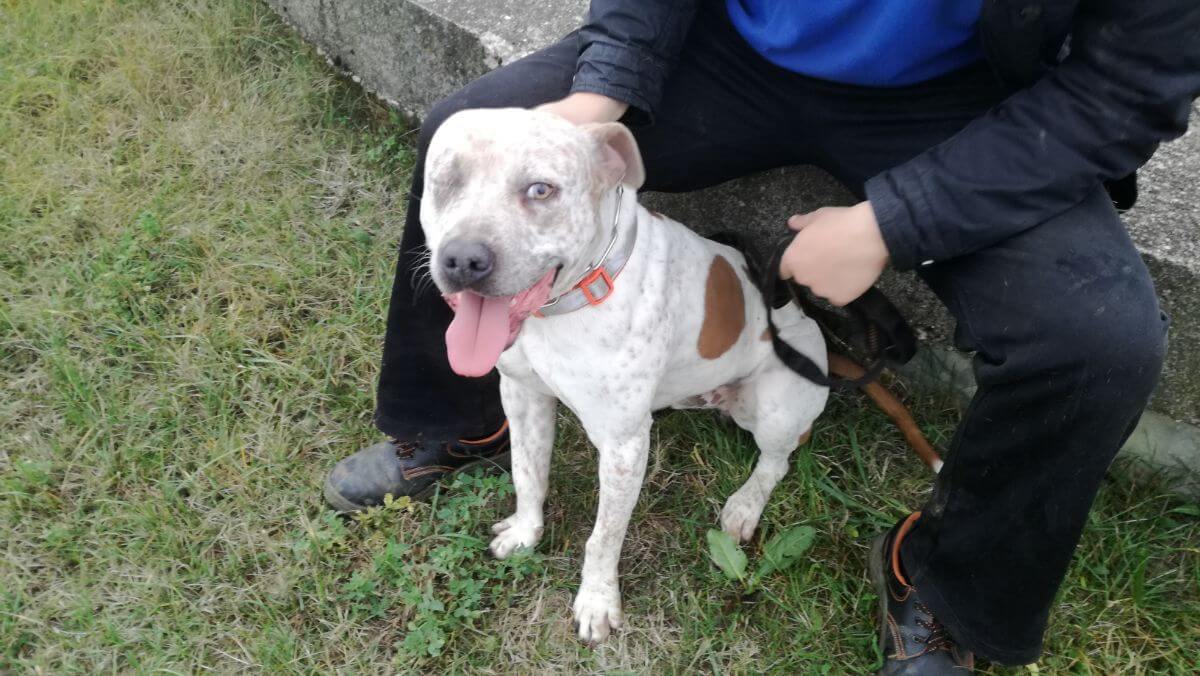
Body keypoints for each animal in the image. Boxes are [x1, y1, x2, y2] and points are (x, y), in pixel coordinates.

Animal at [420, 108, 934, 643]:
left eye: (541, 189)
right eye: (445, 181)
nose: (462, 260)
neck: (568, 305)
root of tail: (817, 343)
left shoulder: (623, 446)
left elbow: (603, 536)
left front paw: (597, 601)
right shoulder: (522, 395)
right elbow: (527, 472)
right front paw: (526, 532)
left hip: (771, 405)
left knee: (780, 459)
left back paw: (745, 505)